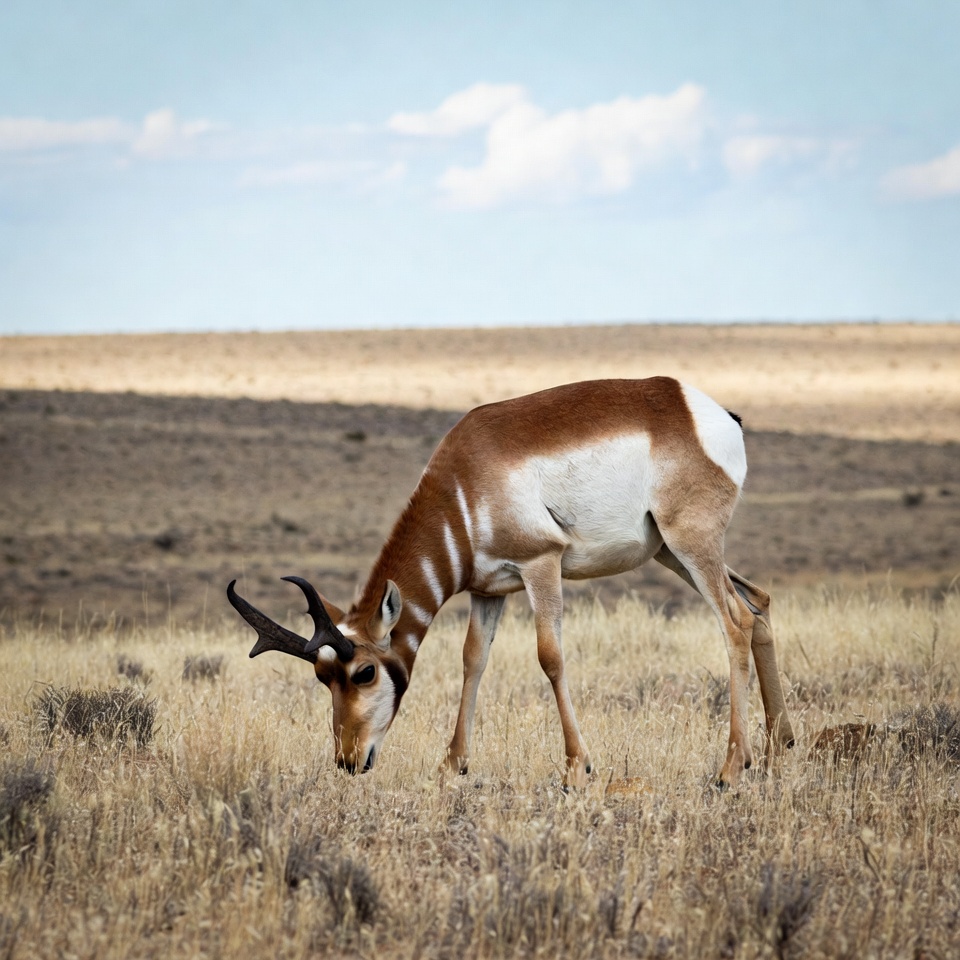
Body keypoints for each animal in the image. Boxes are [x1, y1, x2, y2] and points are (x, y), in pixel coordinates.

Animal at [228, 377, 795, 788]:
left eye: (364, 672)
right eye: (323, 677)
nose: (348, 760)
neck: (463, 485)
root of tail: (711, 413)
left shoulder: (540, 565)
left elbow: (550, 657)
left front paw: (576, 768)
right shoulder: (489, 590)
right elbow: (472, 661)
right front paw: (452, 764)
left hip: (690, 546)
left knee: (736, 621)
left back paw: (731, 769)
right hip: (670, 554)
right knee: (760, 603)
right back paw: (777, 752)